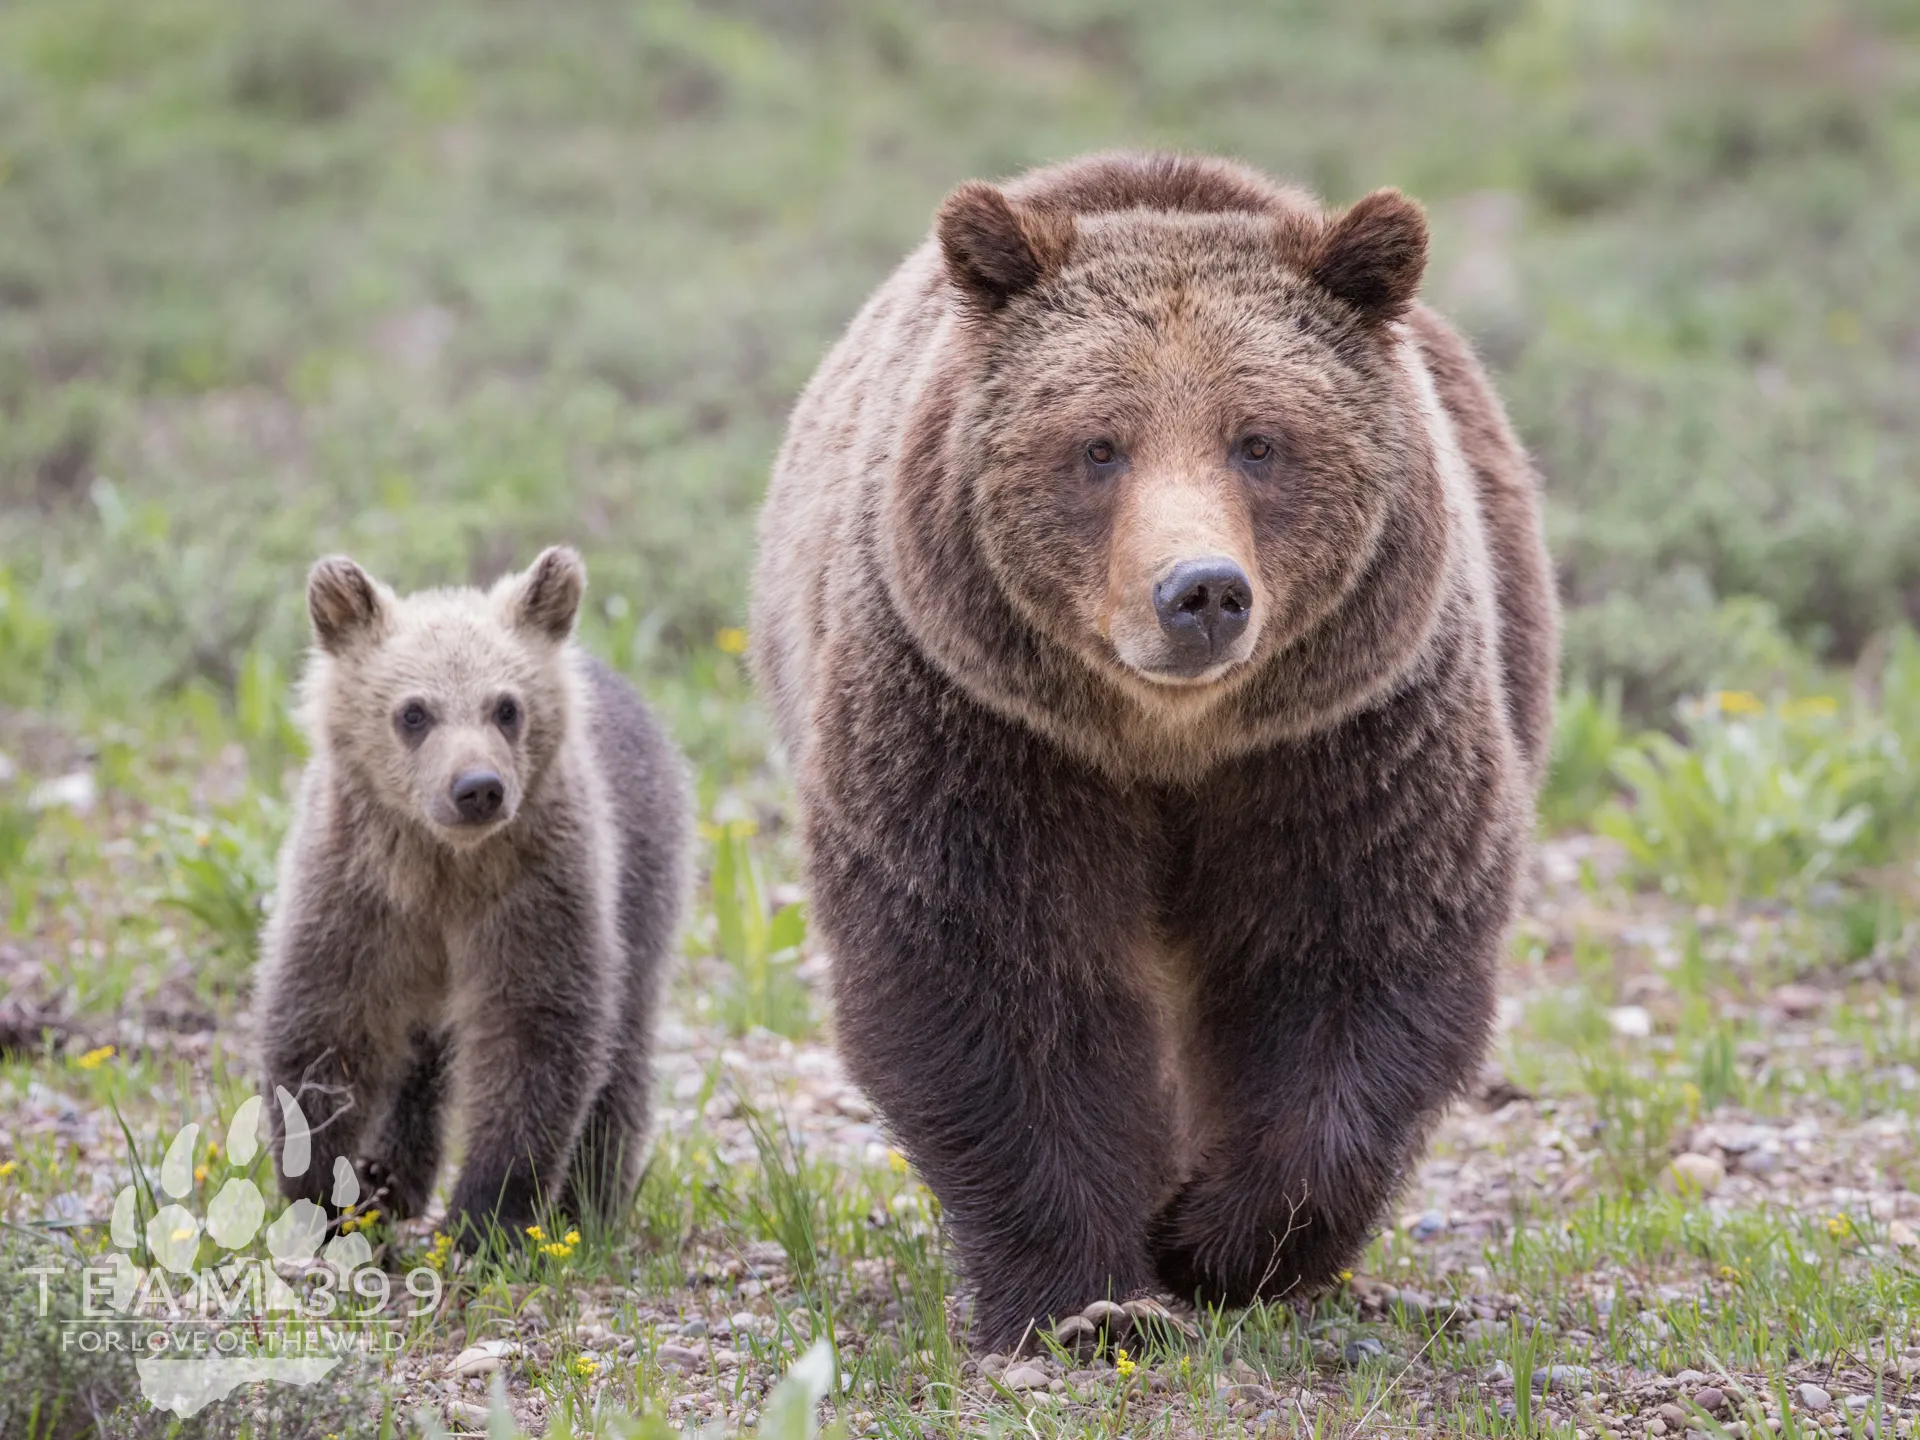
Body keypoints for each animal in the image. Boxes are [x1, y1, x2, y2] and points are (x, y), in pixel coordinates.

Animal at [253, 546, 690, 1246]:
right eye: (414, 712)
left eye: (506, 707)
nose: (477, 787)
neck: (442, 870)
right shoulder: (355, 889)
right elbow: (325, 1023)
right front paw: (322, 1195)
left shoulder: (537, 890)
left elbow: (534, 1035)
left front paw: (487, 1220)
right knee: (419, 1050)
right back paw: (389, 1176)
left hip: (641, 867)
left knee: (623, 1042)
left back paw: (588, 1205)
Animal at [751, 151, 1558, 1350]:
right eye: (1100, 445)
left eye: (1259, 440)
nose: (1202, 591)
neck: (1169, 739)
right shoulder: (983, 729)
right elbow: (995, 974)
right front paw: (1090, 1297)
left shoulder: (1346, 738)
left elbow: (1353, 955)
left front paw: (1213, 1241)